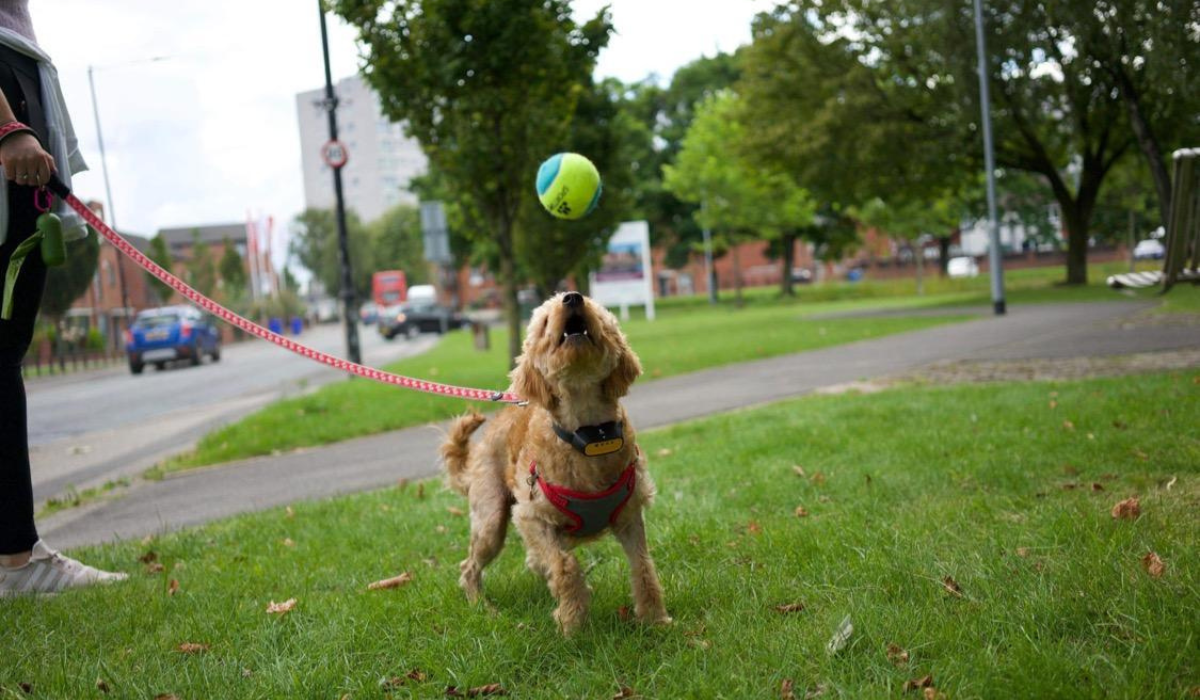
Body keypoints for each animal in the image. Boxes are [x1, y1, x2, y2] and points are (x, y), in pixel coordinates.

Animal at [441, 290, 672, 633]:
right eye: (545, 321)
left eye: (595, 309)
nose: (573, 297)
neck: (590, 436)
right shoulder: (531, 516)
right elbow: (565, 566)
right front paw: (572, 620)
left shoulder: (629, 516)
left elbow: (643, 567)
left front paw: (655, 619)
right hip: (491, 520)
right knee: (469, 566)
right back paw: (482, 607)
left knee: (529, 560)